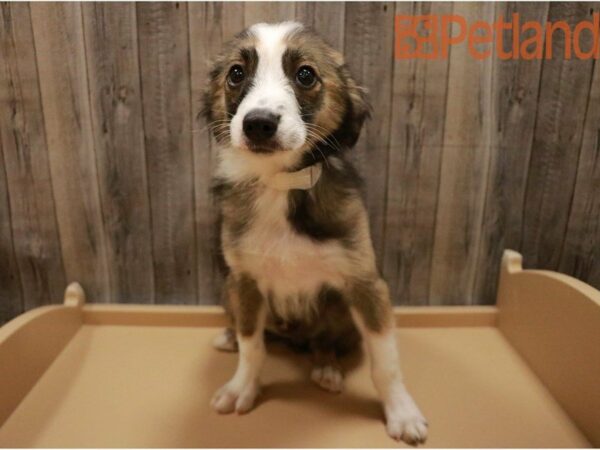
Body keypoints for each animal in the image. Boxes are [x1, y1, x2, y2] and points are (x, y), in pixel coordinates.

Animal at [204, 22, 428, 446]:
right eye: (236, 74)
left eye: (305, 74)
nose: (258, 124)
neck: (281, 183)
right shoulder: (244, 282)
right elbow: (252, 347)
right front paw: (242, 387)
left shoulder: (366, 284)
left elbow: (386, 361)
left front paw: (402, 412)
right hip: (228, 290)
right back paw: (228, 336)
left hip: (339, 309)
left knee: (324, 340)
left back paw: (326, 367)